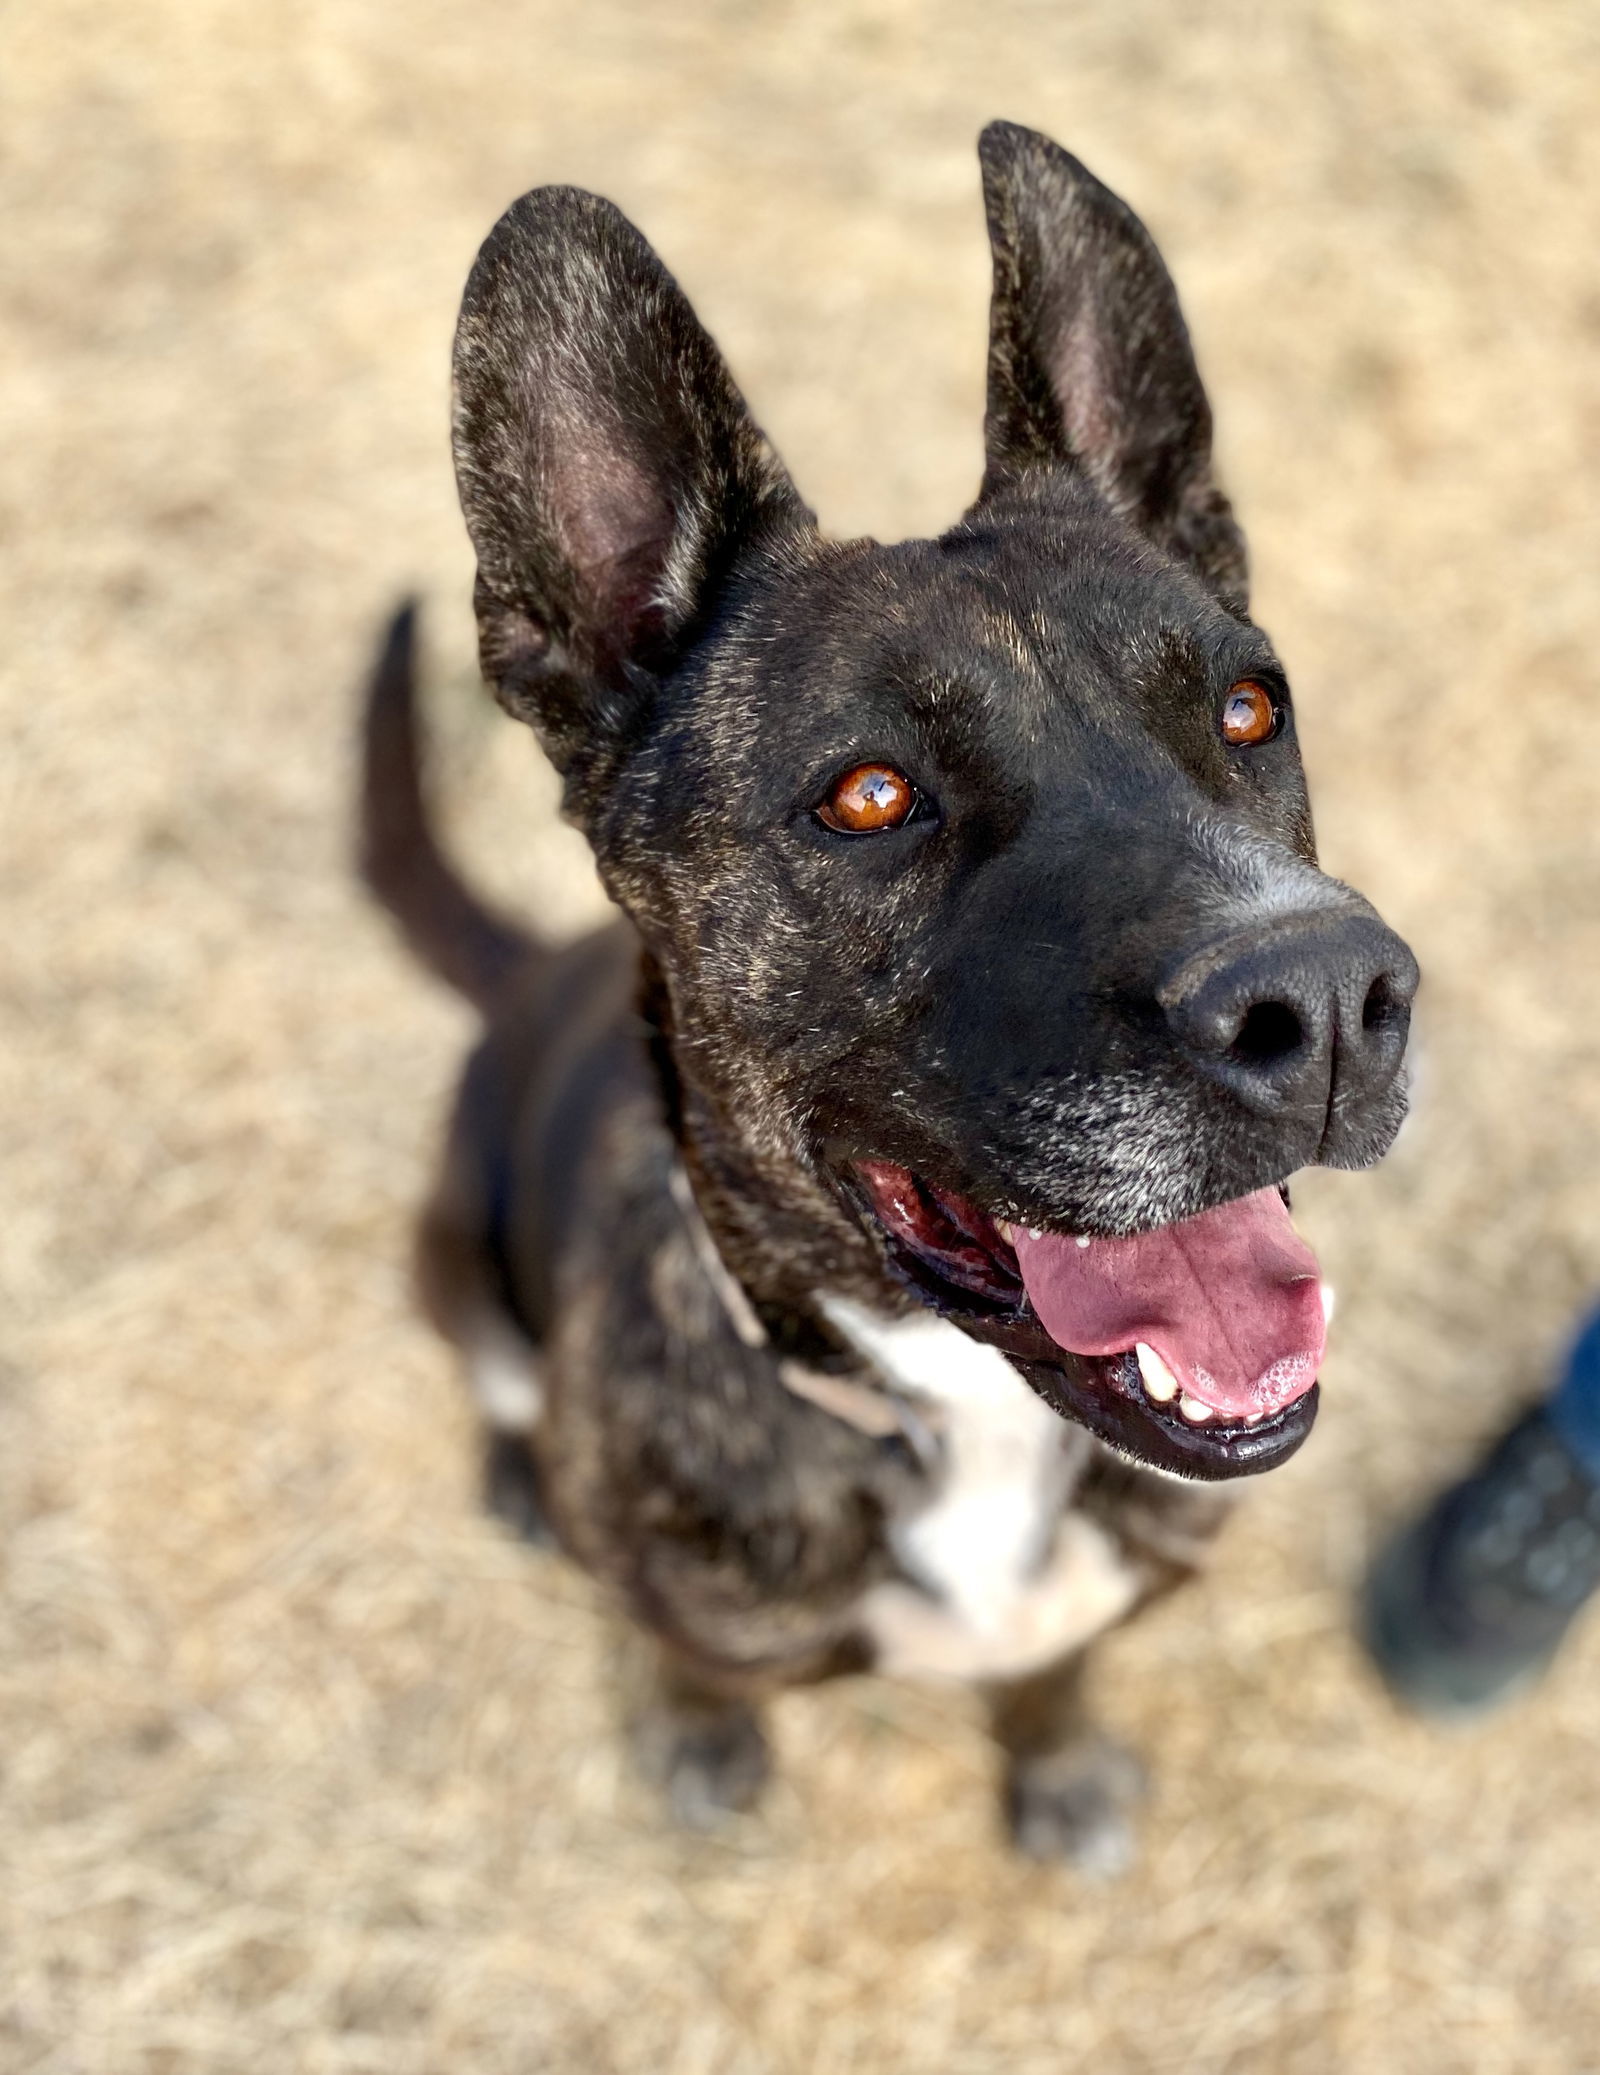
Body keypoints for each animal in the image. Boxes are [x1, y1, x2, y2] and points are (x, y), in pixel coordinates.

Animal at [359, 121, 1411, 1875]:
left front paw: (1056, 1763)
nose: (1327, 998)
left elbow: (1050, 1667)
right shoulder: (692, 1596)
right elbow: (687, 1658)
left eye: (1249, 708)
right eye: (867, 797)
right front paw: (704, 1741)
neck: (963, 1417)